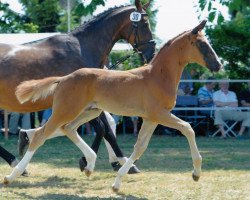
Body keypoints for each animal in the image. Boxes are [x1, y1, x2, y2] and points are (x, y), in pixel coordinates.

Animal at [0, 0, 154, 172]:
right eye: (145, 23)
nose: (152, 52)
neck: (83, 48)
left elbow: (105, 127)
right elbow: (104, 129)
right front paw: (90, 161)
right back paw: (15, 161)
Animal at [5, 20, 221, 192]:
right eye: (202, 44)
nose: (218, 65)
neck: (157, 77)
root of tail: (64, 78)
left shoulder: (150, 118)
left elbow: (139, 147)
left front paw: (117, 183)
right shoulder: (159, 114)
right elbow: (188, 128)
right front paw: (196, 173)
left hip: (89, 112)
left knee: (67, 129)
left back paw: (88, 164)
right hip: (67, 110)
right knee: (43, 135)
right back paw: (12, 175)